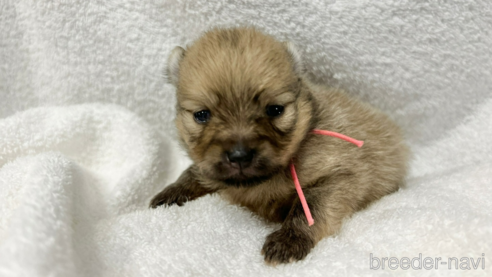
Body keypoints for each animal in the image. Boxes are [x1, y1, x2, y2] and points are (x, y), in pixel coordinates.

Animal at [149, 27, 408, 264]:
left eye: (275, 110)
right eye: (202, 115)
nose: (239, 156)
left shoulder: (340, 174)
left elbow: (309, 208)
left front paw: (289, 240)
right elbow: (193, 172)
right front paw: (170, 193)